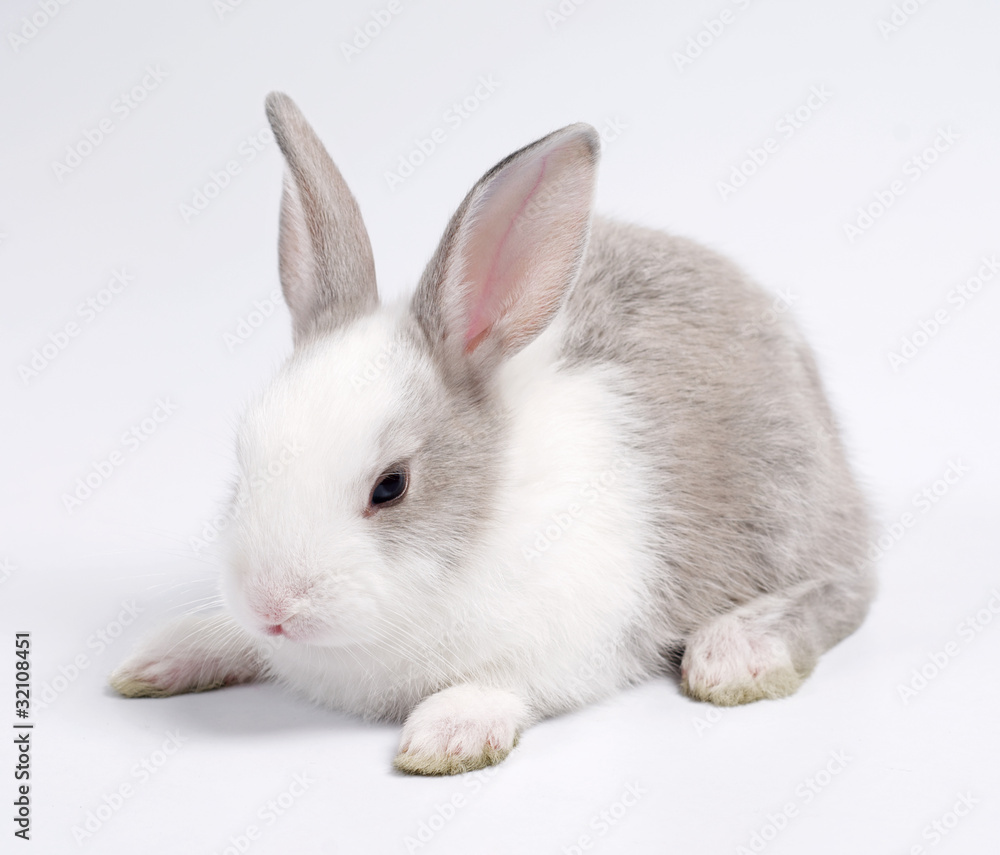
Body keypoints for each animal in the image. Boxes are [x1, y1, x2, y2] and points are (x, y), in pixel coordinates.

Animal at [110, 91, 875, 776]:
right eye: (243, 465)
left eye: (391, 486)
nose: (272, 608)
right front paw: (166, 654)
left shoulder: (566, 641)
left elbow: (500, 683)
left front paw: (449, 735)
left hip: (789, 509)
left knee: (846, 586)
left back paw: (736, 653)